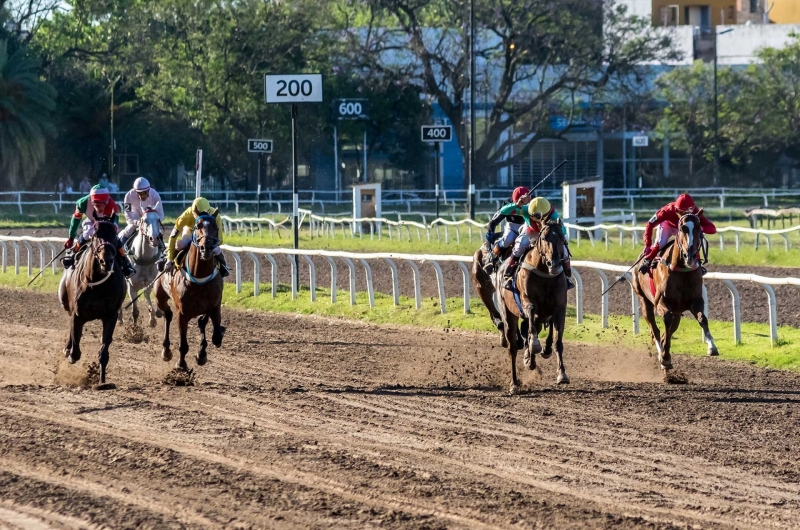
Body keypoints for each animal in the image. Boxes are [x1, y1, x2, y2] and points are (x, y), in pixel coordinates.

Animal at [57, 218, 127, 384]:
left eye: (115, 235)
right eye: (95, 235)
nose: (106, 261)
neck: (97, 283)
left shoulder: (111, 316)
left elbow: (104, 350)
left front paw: (102, 381)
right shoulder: (77, 314)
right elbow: (75, 347)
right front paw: (70, 353)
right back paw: (67, 349)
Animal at [155, 210, 225, 368]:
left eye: (216, 228)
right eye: (198, 226)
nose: (207, 248)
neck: (199, 279)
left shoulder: (214, 306)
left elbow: (215, 335)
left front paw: (201, 354)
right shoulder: (182, 313)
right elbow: (183, 345)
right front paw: (181, 364)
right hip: (159, 297)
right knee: (168, 314)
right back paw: (166, 350)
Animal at [494, 218, 568, 392]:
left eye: (562, 238)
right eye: (545, 238)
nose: (554, 263)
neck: (545, 274)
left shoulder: (559, 308)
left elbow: (557, 341)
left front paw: (562, 374)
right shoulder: (529, 303)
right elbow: (531, 325)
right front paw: (535, 346)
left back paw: (531, 361)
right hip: (508, 314)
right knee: (513, 348)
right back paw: (514, 383)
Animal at [632, 208, 720, 370]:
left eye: (699, 228)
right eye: (682, 228)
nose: (690, 256)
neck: (682, 270)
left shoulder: (696, 301)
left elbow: (702, 318)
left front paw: (712, 347)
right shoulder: (661, 302)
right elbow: (666, 320)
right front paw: (665, 357)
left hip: (678, 312)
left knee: (668, 330)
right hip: (644, 300)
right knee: (655, 329)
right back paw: (662, 355)